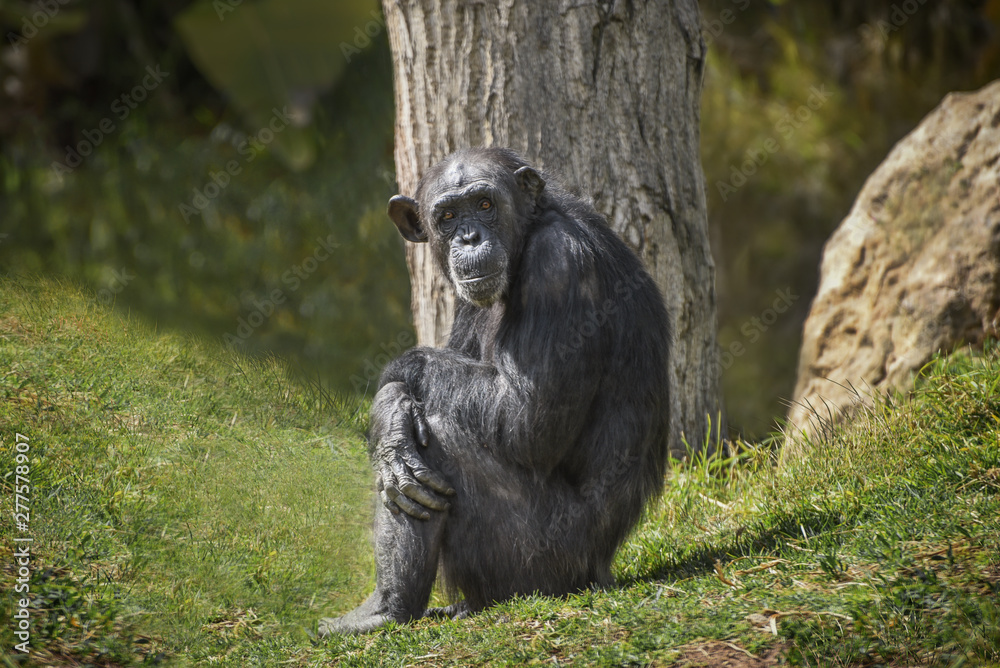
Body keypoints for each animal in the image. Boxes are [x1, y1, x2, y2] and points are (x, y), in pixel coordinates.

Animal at [322, 147, 672, 636]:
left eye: (485, 204)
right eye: (448, 216)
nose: (469, 237)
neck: (528, 235)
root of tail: (601, 571)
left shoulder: (558, 265)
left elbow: (526, 422)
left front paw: (394, 381)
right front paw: (389, 418)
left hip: (539, 558)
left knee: (441, 437)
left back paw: (385, 609)